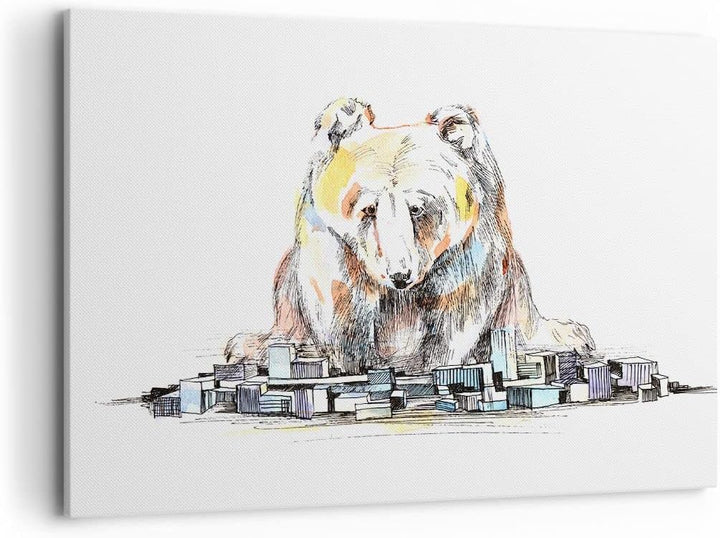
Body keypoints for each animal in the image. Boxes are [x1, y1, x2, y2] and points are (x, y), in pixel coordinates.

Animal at [225, 97, 594, 374]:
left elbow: (460, 305)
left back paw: (571, 335)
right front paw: (361, 360)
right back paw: (252, 345)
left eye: (417, 207)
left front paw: (431, 362)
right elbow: (339, 297)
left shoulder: (468, 243)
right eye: (367, 208)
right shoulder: (332, 240)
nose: (399, 275)